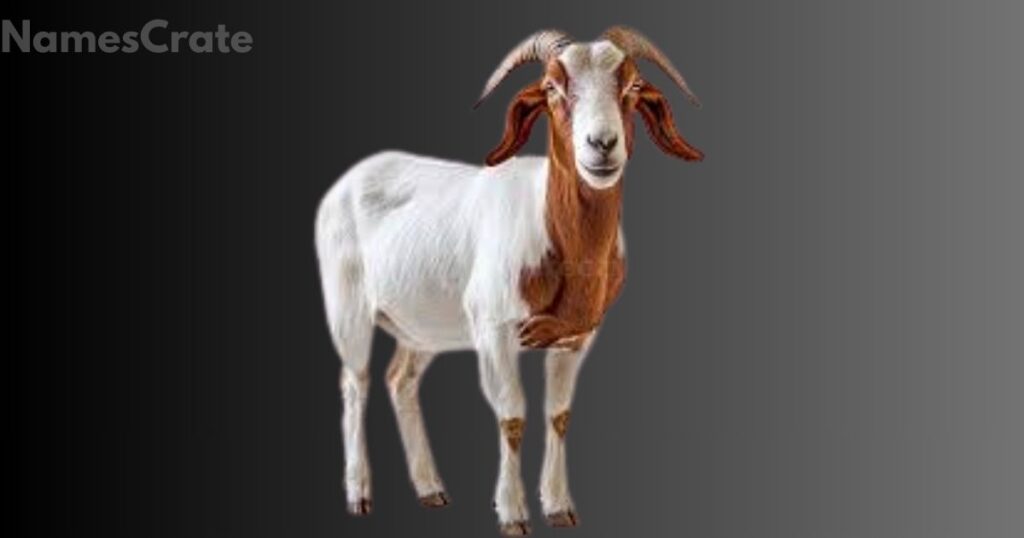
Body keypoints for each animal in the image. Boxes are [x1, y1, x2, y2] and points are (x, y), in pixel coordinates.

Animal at [315, 27, 703, 536]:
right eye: (553, 87)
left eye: (634, 85)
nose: (602, 144)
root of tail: (348, 181)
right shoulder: (494, 331)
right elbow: (512, 416)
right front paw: (513, 514)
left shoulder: (575, 339)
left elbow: (558, 415)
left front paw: (559, 508)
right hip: (349, 309)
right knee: (355, 383)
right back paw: (359, 494)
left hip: (423, 328)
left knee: (400, 381)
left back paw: (431, 490)